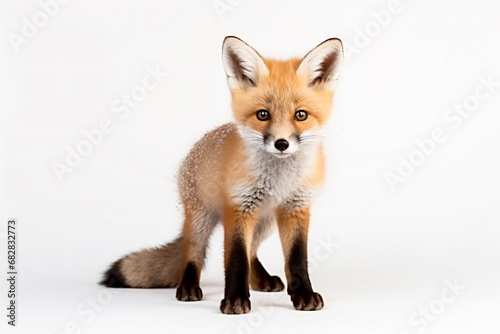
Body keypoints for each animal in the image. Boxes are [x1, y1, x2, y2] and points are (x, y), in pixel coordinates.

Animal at [101, 36, 344, 314]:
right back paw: (188, 287)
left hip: (265, 223)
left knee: (252, 252)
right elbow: (236, 260)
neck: (278, 182)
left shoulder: (296, 208)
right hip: (201, 220)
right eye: (263, 114)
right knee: (192, 254)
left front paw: (303, 294)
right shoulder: (237, 209)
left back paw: (261, 280)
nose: (281, 144)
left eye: (300, 115)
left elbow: (296, 259)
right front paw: (235, 300)